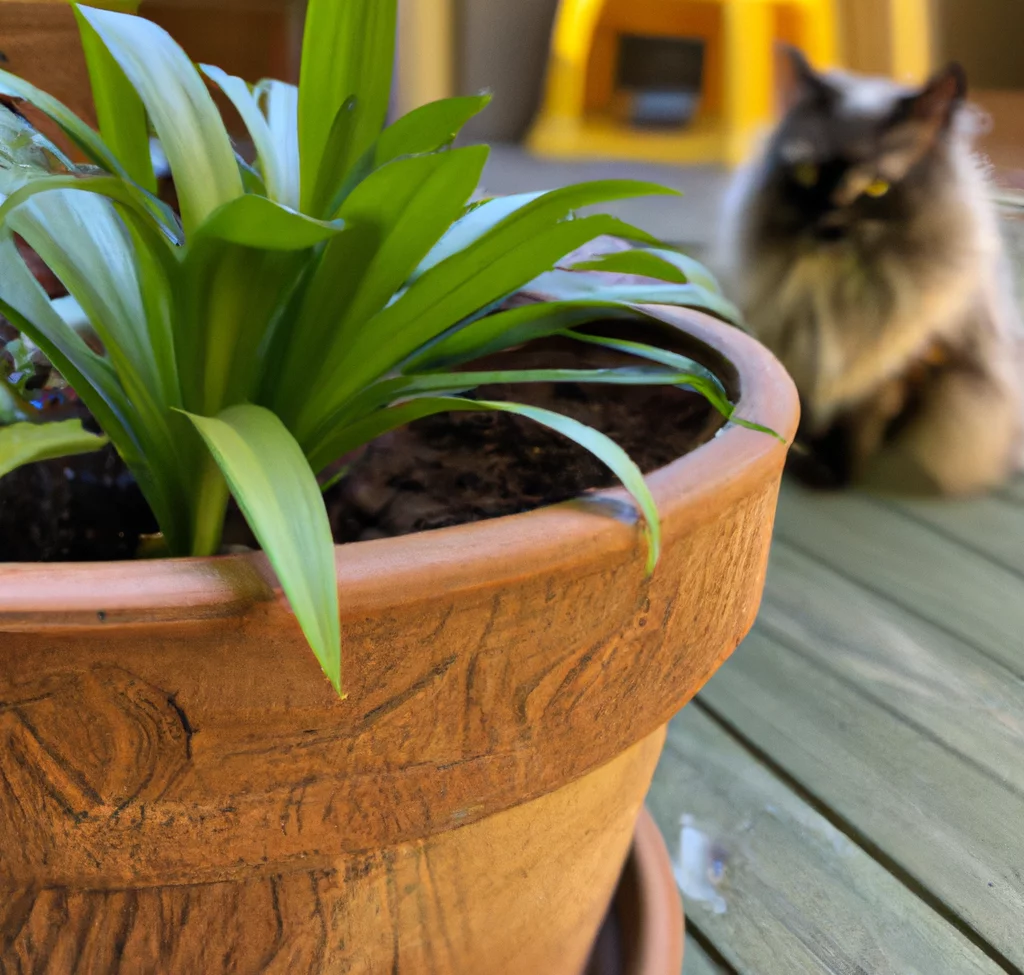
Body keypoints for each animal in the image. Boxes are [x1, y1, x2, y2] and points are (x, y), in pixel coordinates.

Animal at [716, 51, 1019, 495]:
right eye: (807, 173)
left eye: (875, 187)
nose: (827, 224)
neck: (838, 289)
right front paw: (807, 461)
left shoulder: (897, 368)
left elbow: (862, 426)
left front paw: (836, 478)